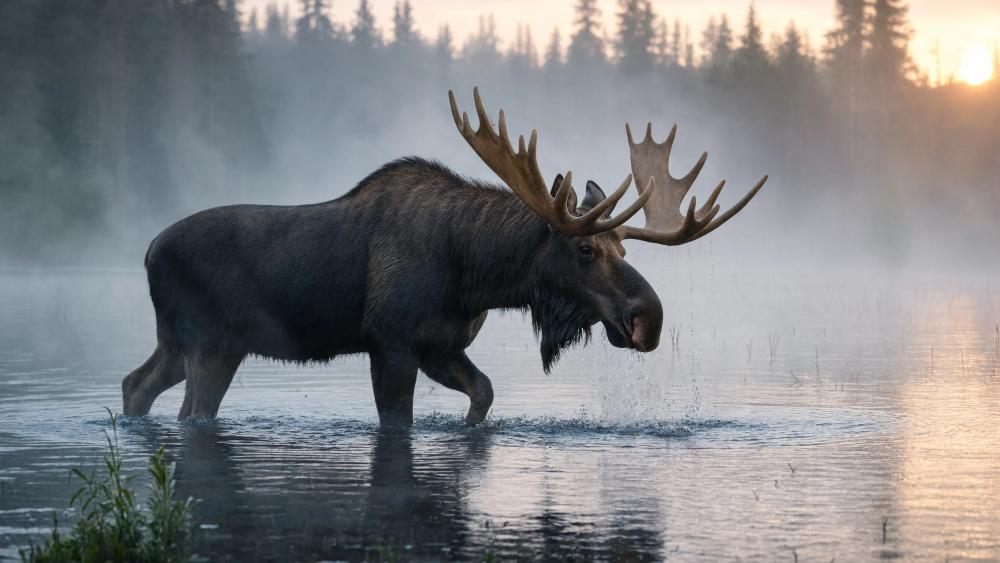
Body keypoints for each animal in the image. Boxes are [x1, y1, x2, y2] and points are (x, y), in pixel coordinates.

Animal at [121, 88, 766, 427]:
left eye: (624, 246)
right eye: (584, 247)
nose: (647, 318)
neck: (474, 275)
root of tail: (147, 251)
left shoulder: (441, 345)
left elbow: (483, 394)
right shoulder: (390, 341)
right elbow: (398, 422)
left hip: (192, 344)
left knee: (136, 384)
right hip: (208, 342)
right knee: (187, 411)